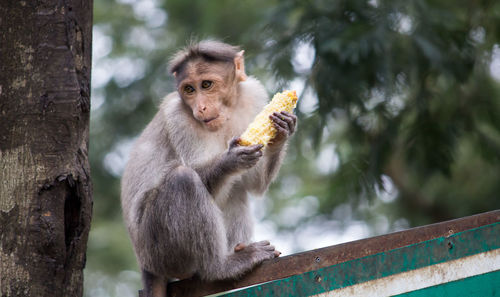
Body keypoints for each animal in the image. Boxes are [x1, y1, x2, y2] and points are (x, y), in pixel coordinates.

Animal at [120, 40, 296, 296]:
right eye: (189, 90)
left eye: (206, 84)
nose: (201, 107)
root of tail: (146, 265)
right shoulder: (179, 117)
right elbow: (202, 173)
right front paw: (229, 160)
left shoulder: (253, 95)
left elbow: (252, 183)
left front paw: (282, 130)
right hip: (158, 251)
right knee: (183, 179)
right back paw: (221, 267)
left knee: (236, 190)